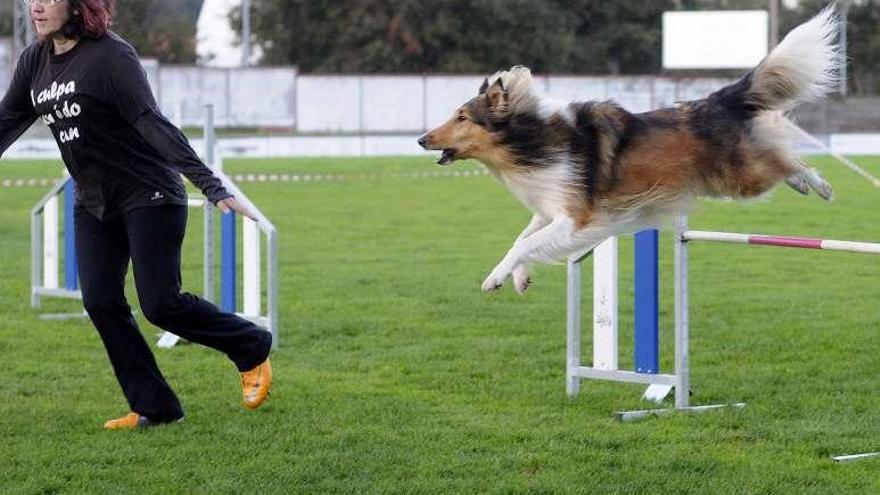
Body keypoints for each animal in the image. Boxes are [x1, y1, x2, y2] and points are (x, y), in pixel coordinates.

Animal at [418, 7, 840, 294]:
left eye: (462, 117)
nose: (421, 139)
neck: (530, 137)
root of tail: (715, 100)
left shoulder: (575, 217)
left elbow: (527, 243)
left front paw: (496, 278)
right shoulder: (552, 208)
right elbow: (522, 238)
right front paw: (519, 277)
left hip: (741, 177)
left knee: (786, 158)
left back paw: (818, 184)